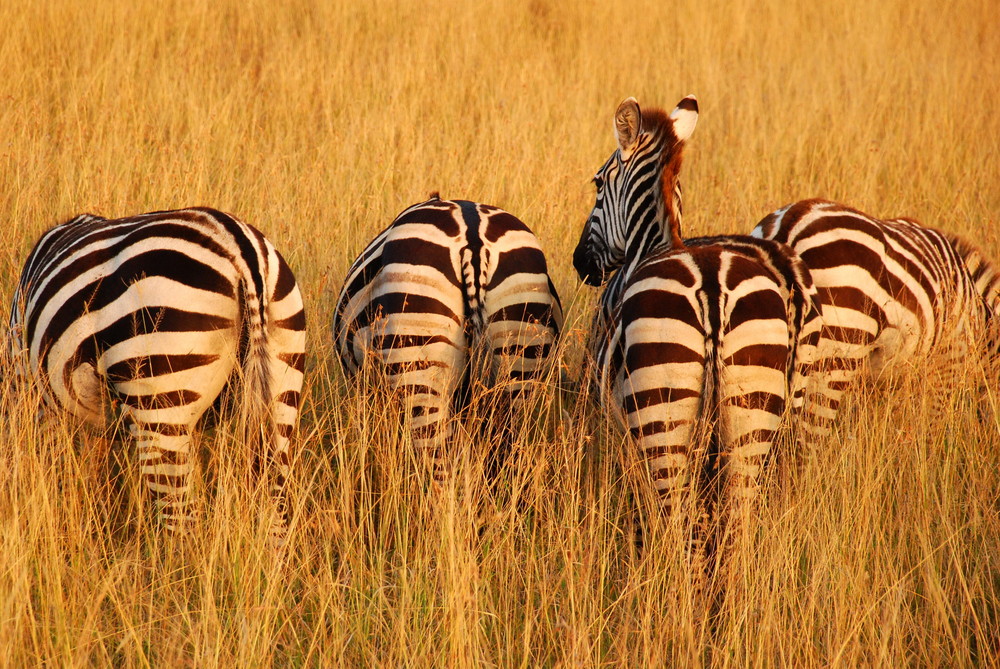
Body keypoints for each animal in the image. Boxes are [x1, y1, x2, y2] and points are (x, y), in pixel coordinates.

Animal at [8, 206, 304, 540]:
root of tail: (239, 246)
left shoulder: (31, 393)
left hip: (159, 399)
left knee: (181, 523)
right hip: (281, 387)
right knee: (275, 508)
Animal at [576, 95, 824, 564]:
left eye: (597, 184)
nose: (580, 262)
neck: (653, 245)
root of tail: (712, 289)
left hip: (664, 414)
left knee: (678, 524)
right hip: (764, 406)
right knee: (739, 523)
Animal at [752, 198, 1000, 444]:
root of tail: (790, 222)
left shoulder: (881, 378)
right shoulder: (947, 363)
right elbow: (931, 429)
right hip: (833, 353)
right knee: (809, 437)